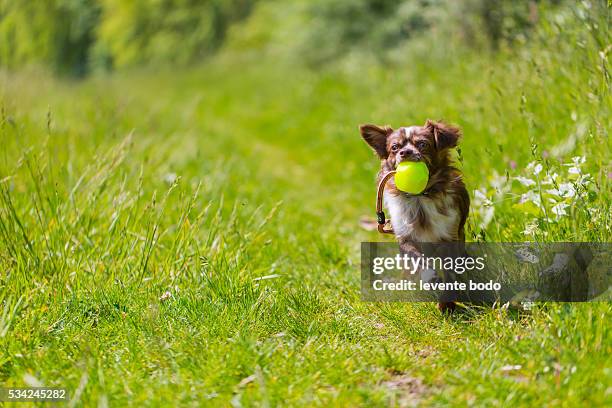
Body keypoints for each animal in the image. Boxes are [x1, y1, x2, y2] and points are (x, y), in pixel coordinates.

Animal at [358, 119, 468, 310]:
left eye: (423, 144)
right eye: (394, 147)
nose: (405, 152)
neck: (419, 197)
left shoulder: (450, 237)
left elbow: (449, 270)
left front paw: (447, 303)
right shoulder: (405, 238)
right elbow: (417, 259)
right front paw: (429, 277)